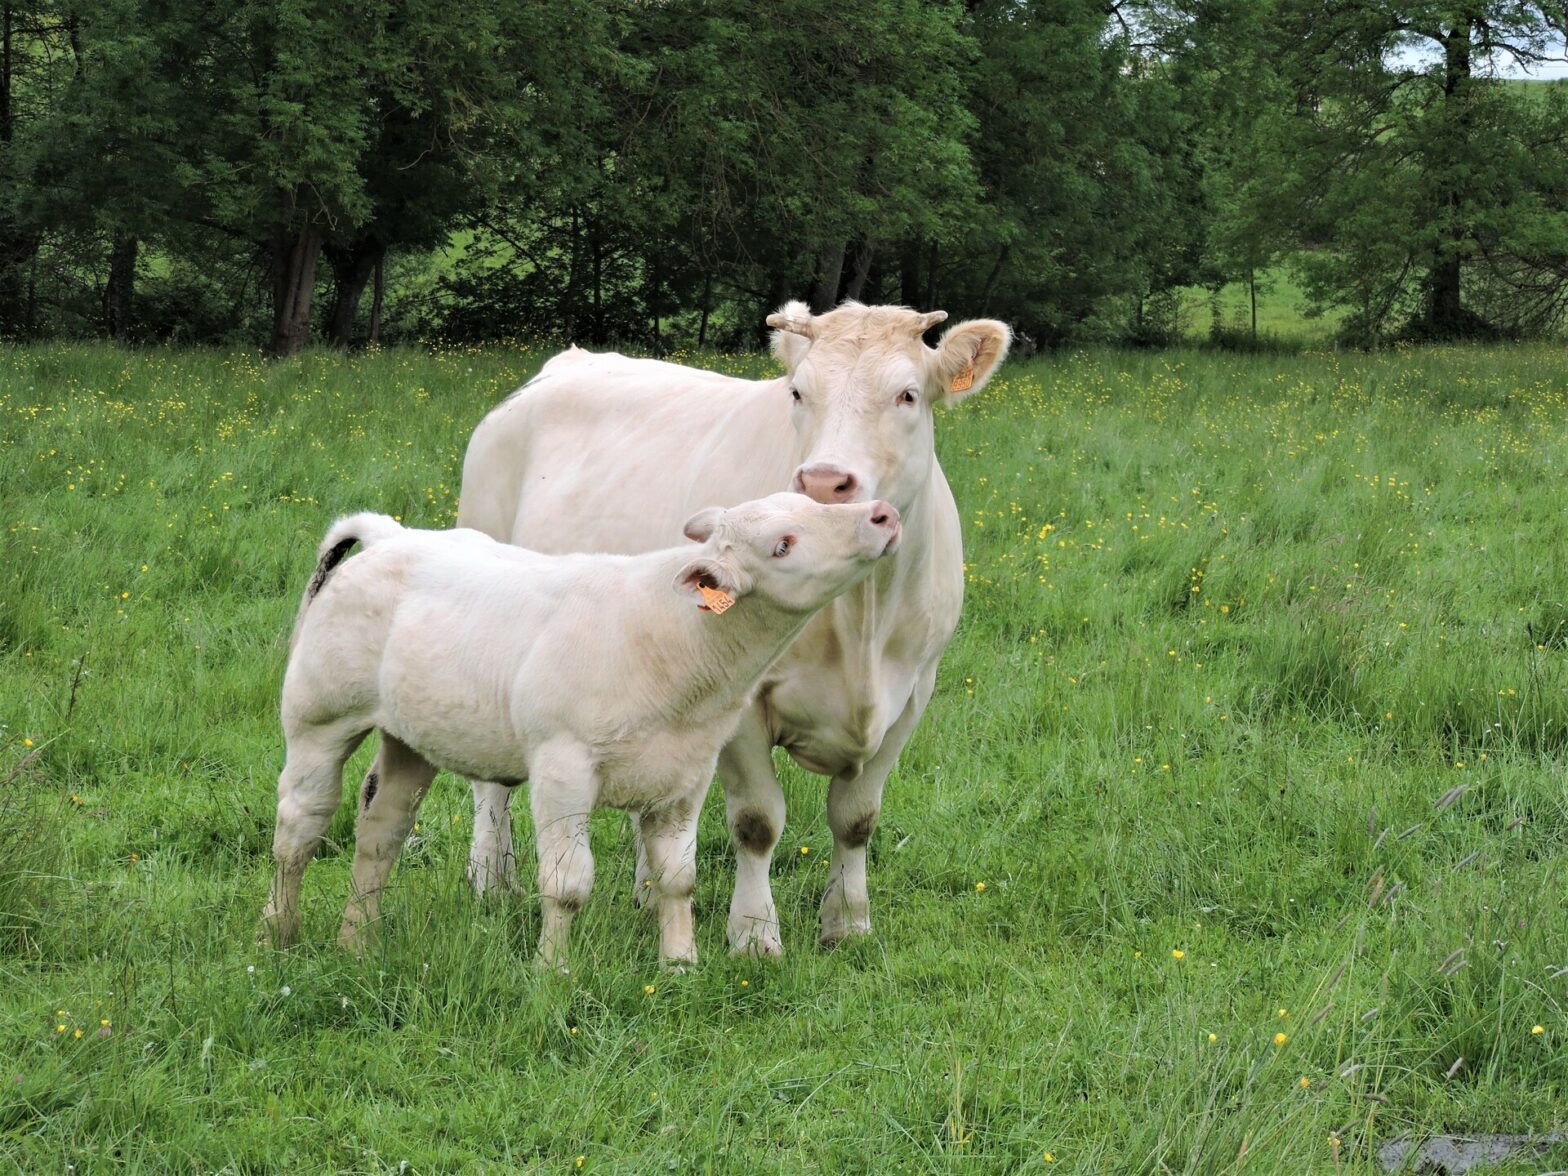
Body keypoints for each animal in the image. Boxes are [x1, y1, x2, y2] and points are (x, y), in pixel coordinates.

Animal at [263, 492, 903, 972]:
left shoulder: (687, 776)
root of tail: (391, 534)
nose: (882, 513)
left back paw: (357, 942)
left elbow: (678, 878)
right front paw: (553, 970)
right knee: (300, 826)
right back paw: (277, 936)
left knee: (381, 829)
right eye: (783, 544)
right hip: (318, 718)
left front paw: (680, 965)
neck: (668, 637)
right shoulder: (562, 767)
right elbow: (567, 882)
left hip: (412, 738)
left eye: (810, 502)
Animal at [454, 301, 1016, 959]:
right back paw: (492, 878)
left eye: (907, 394)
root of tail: (566, 362)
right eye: (798, 392)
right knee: (491, 781)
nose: (824, 482)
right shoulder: (742, 701)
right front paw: (753, 934)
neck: (863, 620)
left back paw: (644, 894)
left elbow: (856, 817)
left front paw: (848, 923)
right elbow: (757, 822)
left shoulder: (914, 692)